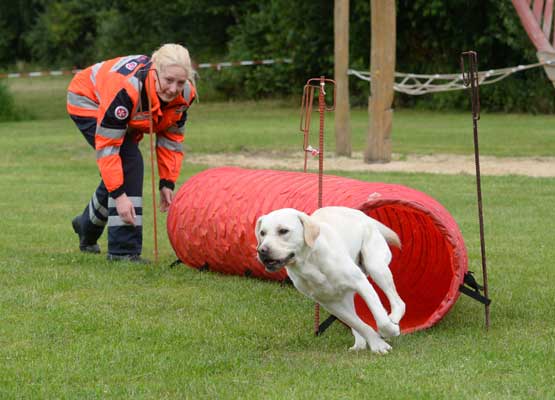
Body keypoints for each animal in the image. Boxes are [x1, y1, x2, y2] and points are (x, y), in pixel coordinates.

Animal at [255, 206, 404, 354]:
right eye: (262, 233)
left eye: (283, 231)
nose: (262, 250)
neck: (308, 263)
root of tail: (364, 216)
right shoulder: (328, 302)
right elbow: (358, 324)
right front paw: (377, 344)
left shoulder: (360, 283)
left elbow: (381, 320)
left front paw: (391, 330)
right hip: (345, 296)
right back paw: (359, 345)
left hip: (376, 267)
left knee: (399, 303)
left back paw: (393, 319)